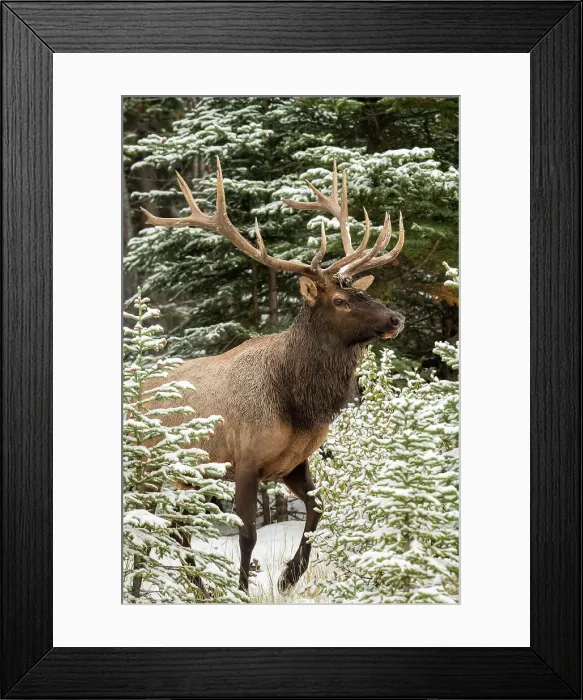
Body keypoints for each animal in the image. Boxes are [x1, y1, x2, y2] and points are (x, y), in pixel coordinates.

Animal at [140, 158, 405, 593]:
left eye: (362, 292)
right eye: (340, 300)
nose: (396, 318)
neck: (298, 405)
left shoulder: (293, 462)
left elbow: (318, 507)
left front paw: (288, 575)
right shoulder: (244, 458)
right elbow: (247, 534)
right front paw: (243, 590)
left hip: (184, 474)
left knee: (175, 526)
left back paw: (199, 587)